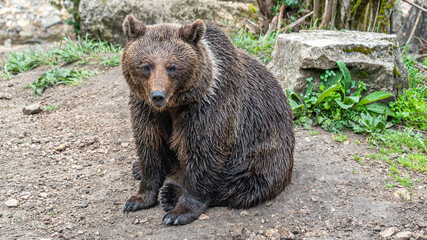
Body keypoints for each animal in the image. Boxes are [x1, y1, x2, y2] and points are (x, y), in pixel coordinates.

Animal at [120, 14, 294, 225]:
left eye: (172, 67)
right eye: (146, 66)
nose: (158, 96)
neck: (174, 105)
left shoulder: (208, 107)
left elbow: (202, 153)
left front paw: (179, 212)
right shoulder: (147, 110)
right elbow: (150, 145)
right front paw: (138, 198)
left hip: (264, 148)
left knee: (248, 180)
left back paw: (171, 193)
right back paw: (138, 168)